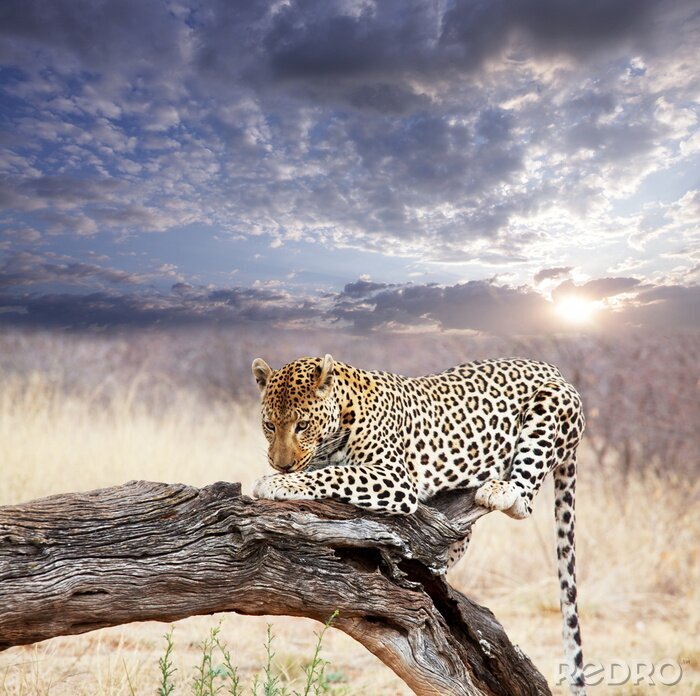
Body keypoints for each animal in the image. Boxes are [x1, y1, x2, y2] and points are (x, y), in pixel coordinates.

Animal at [251, 353, 586, 695]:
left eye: (302, 425)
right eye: (269, 426)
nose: (281, 465)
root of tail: (552, 368)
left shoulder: (393, 477)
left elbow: (334, 474)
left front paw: (277, 483)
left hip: (551, 404)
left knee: (524, 501)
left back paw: (500, 490)